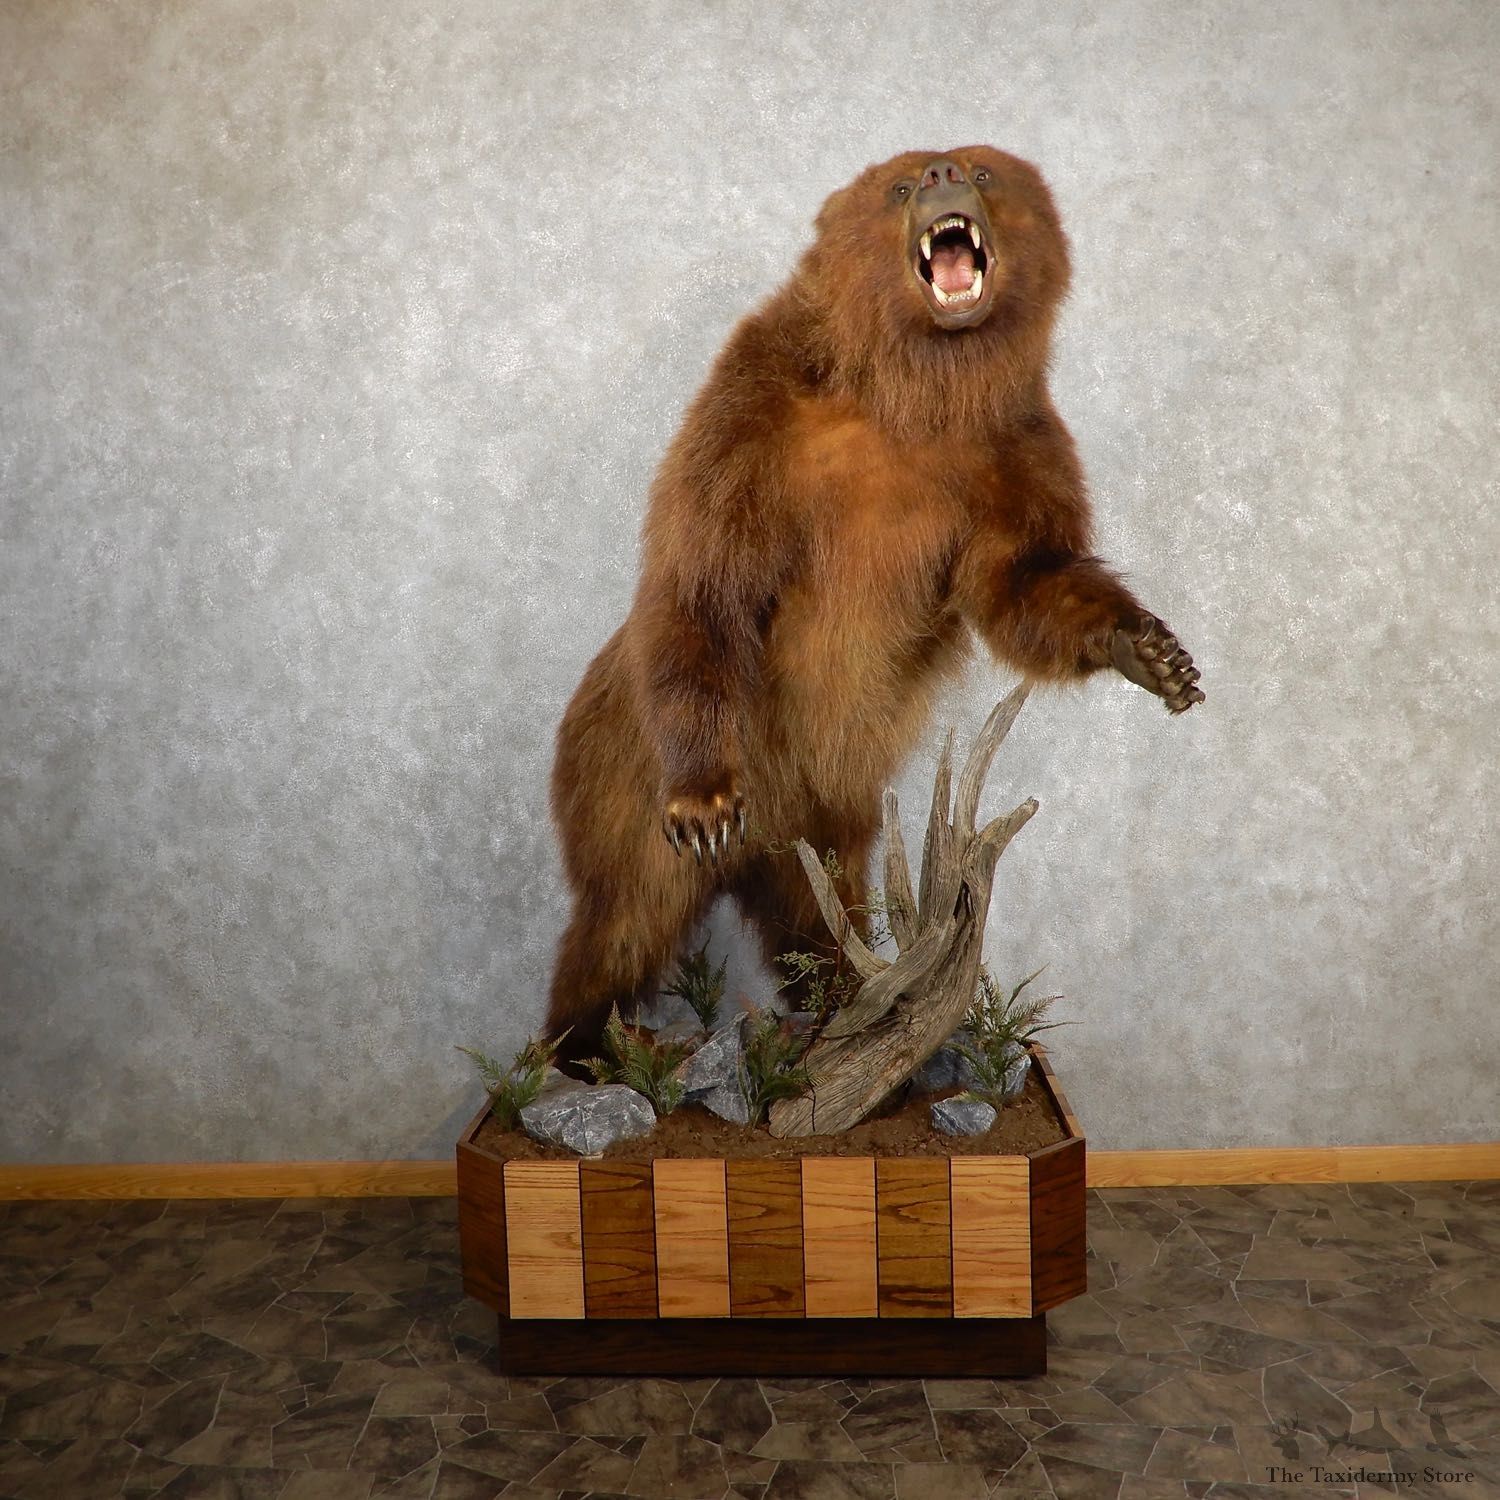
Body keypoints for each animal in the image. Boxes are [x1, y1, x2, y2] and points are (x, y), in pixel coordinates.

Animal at [542, 147, 1202, 1066]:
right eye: (896, 184)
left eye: (988, 172)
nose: (943, 170)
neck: (917, 395)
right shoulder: (752, 417)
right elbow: (704, 581)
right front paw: (704, 802)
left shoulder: (1015, 452)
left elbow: (1025, 582)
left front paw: (1152, 652)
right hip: (619, 777)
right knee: (622, 918)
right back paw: (587, 1045)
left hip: (826, 823)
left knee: (818, 910)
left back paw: (843, 1003)